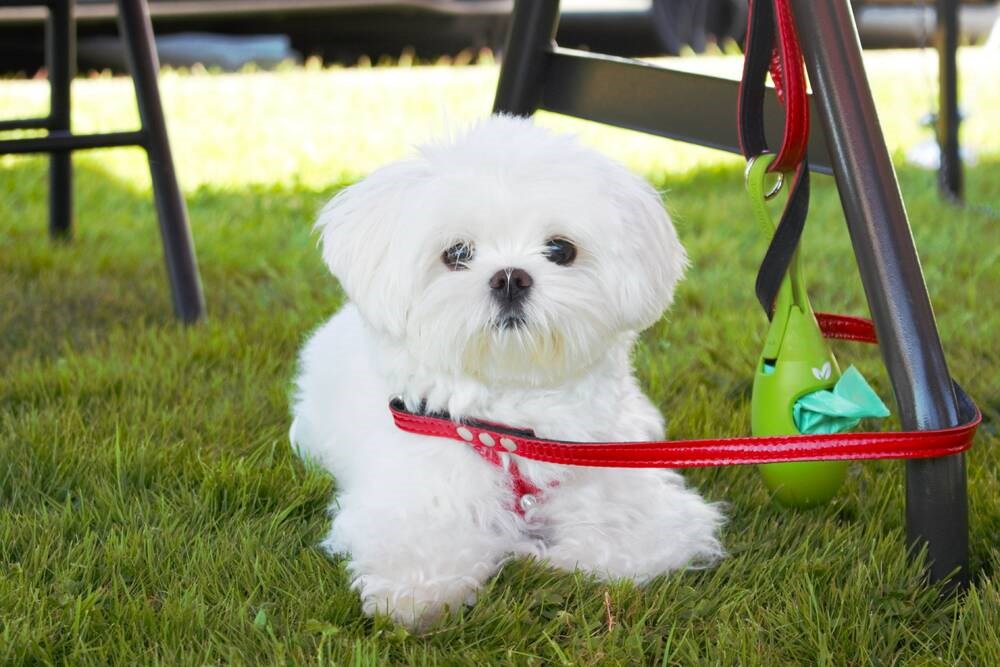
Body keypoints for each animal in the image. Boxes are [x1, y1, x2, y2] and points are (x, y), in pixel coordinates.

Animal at [292, 112, 724, 628]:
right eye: (457, 253)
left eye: (560, 250)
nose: (512, 277)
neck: (513, 423)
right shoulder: (407, 500)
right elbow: (418, 553)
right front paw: (419, 597)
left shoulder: (639, 498)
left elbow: (618, 549)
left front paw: (544, 557)